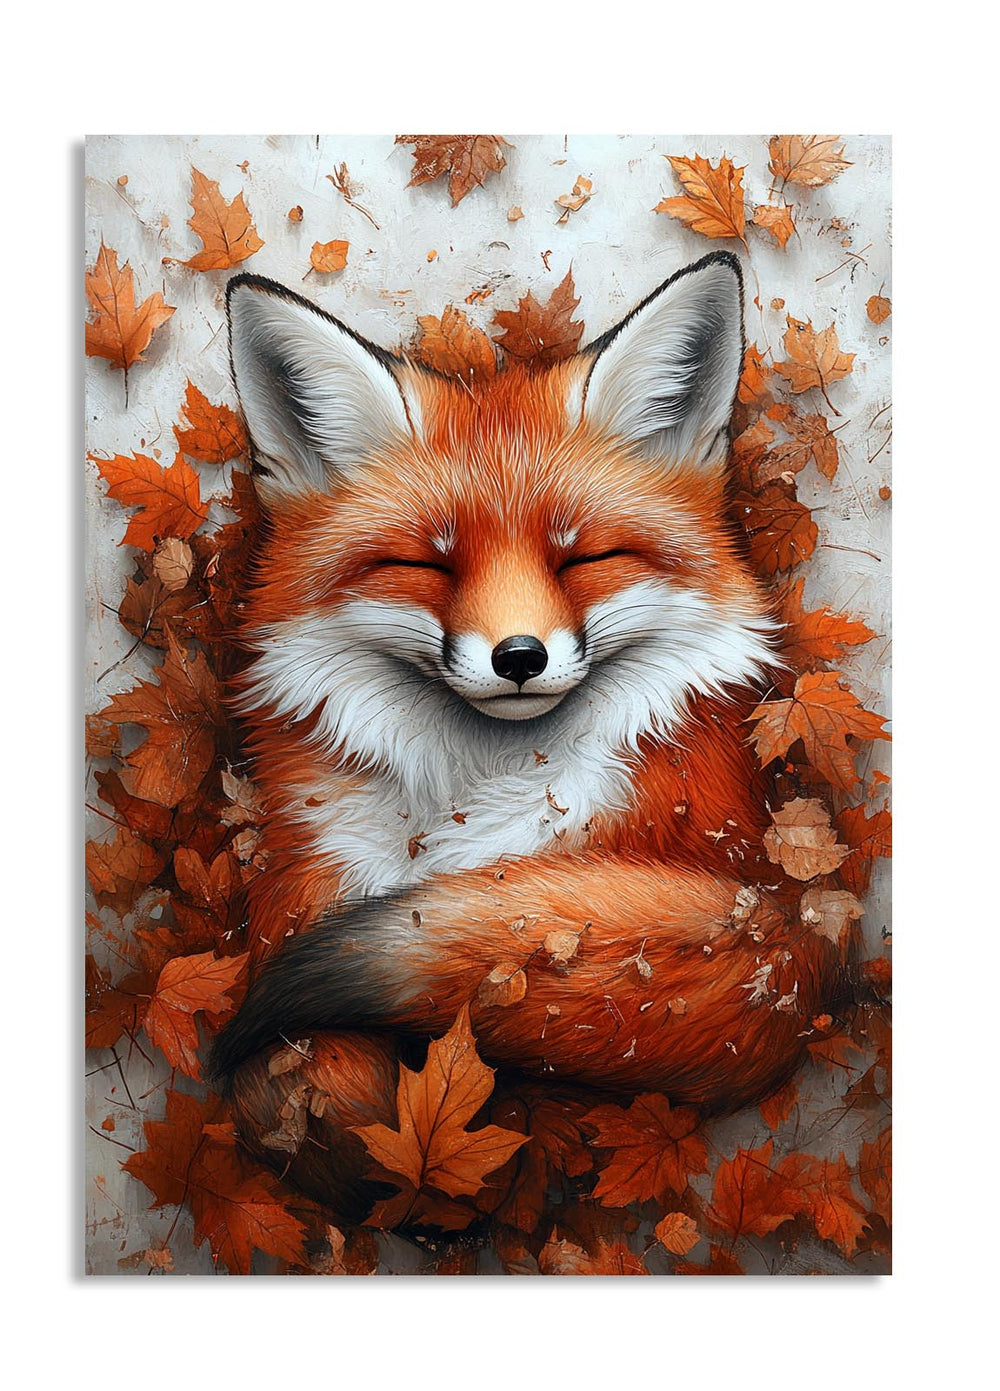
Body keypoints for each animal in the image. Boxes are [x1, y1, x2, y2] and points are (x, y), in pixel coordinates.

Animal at [211, 251, 845, 1221]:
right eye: (425, 564)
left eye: (583, 558)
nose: (518, 656)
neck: (479, 806)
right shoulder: (305, 864)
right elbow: (296, 1083)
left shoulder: (759, 913)